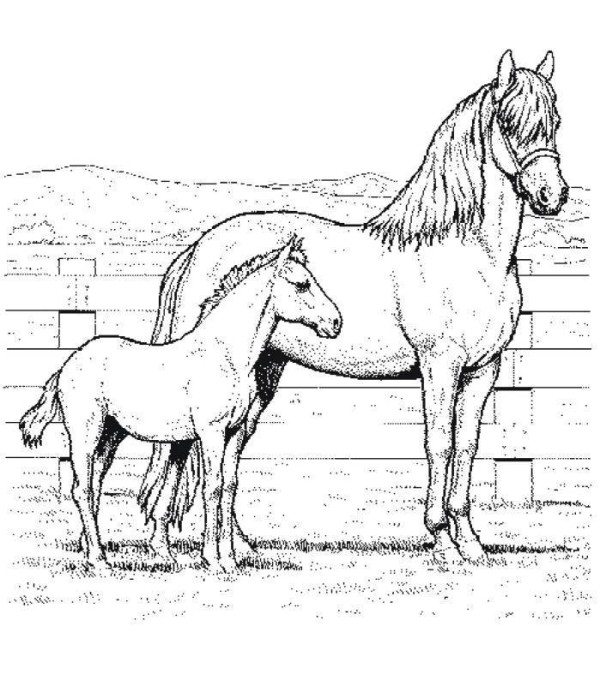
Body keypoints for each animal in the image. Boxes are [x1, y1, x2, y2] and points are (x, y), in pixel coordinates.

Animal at [19, 239, 342, 568]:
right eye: (301, 284)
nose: (335, 323)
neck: (226, 354)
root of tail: (68, 364)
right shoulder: (211, 433)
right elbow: (212, 487)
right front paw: (214, 560)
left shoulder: (233, 432)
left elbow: (229, 486)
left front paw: (230, 559)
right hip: (86, 433)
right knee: (82, 489)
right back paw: (99, 561)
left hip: (111, 434)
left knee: (95, 485)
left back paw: (94, 553)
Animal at [140, 50, 568, 566]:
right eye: (510, 121)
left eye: (556, 122)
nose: (552, 196)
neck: (468, 253)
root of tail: (195, 250)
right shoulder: (440, 366)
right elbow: (440, 445)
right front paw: (442, 540)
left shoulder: (483, 369)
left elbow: (466, 448)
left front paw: (471, 544)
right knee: (183, 448)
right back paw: (166, 545)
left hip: (263, 370)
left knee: (229, 451)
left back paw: (236, 546)